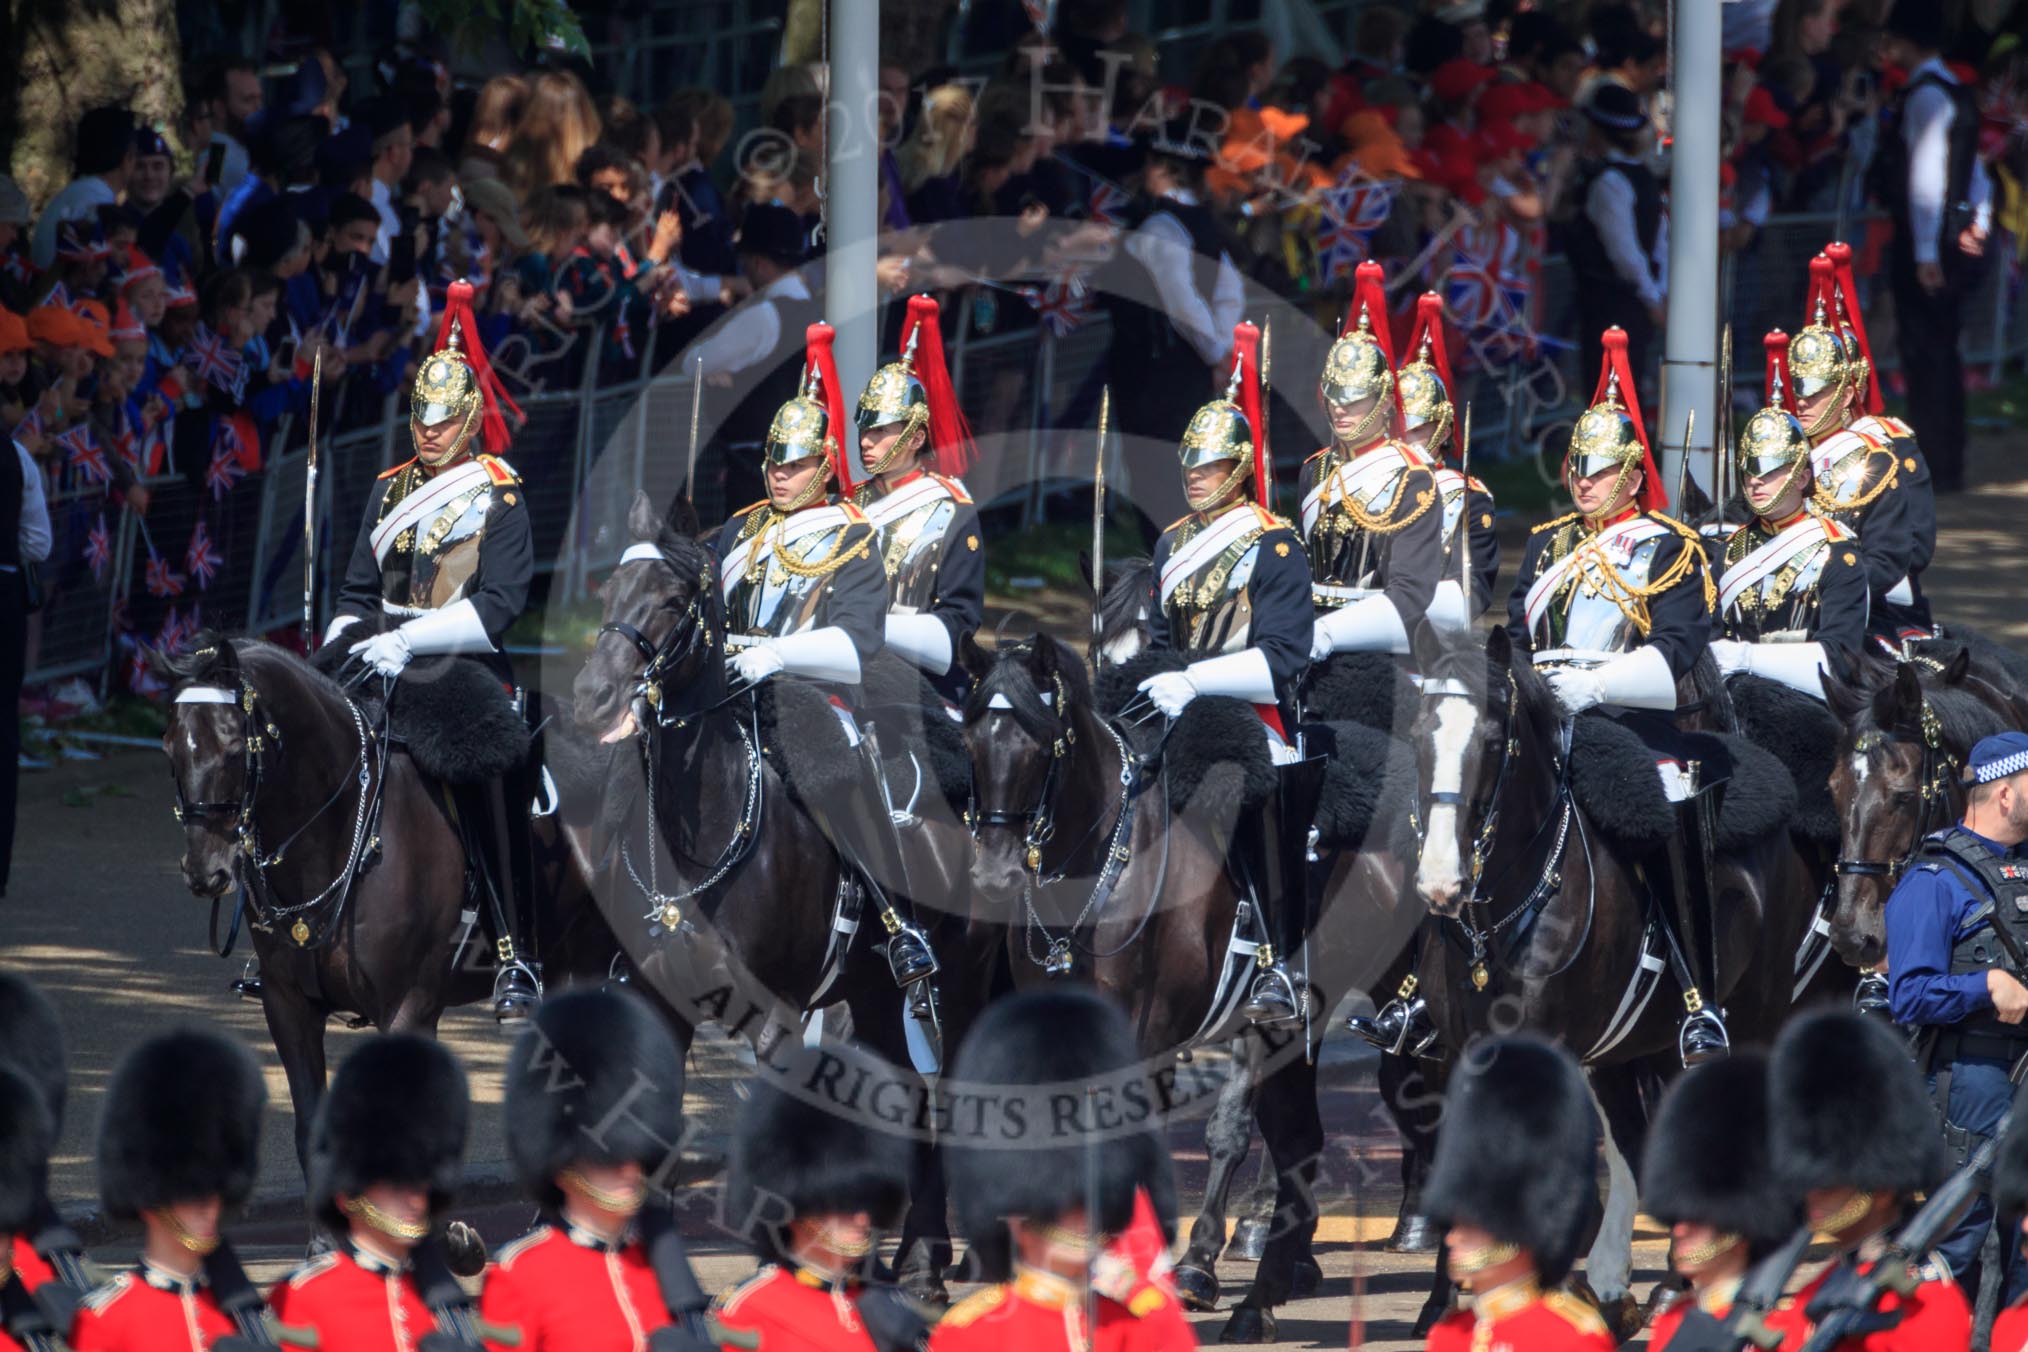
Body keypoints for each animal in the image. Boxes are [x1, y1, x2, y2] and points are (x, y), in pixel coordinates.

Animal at [567, 494, 993, 1297]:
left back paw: (924, 1260)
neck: (706, 828)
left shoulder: (780, 1012)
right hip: (872, 991)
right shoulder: (662, 997)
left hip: (950, 982)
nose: (591, 697)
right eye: (609, 592)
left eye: (670, 601)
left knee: (940, 1093)